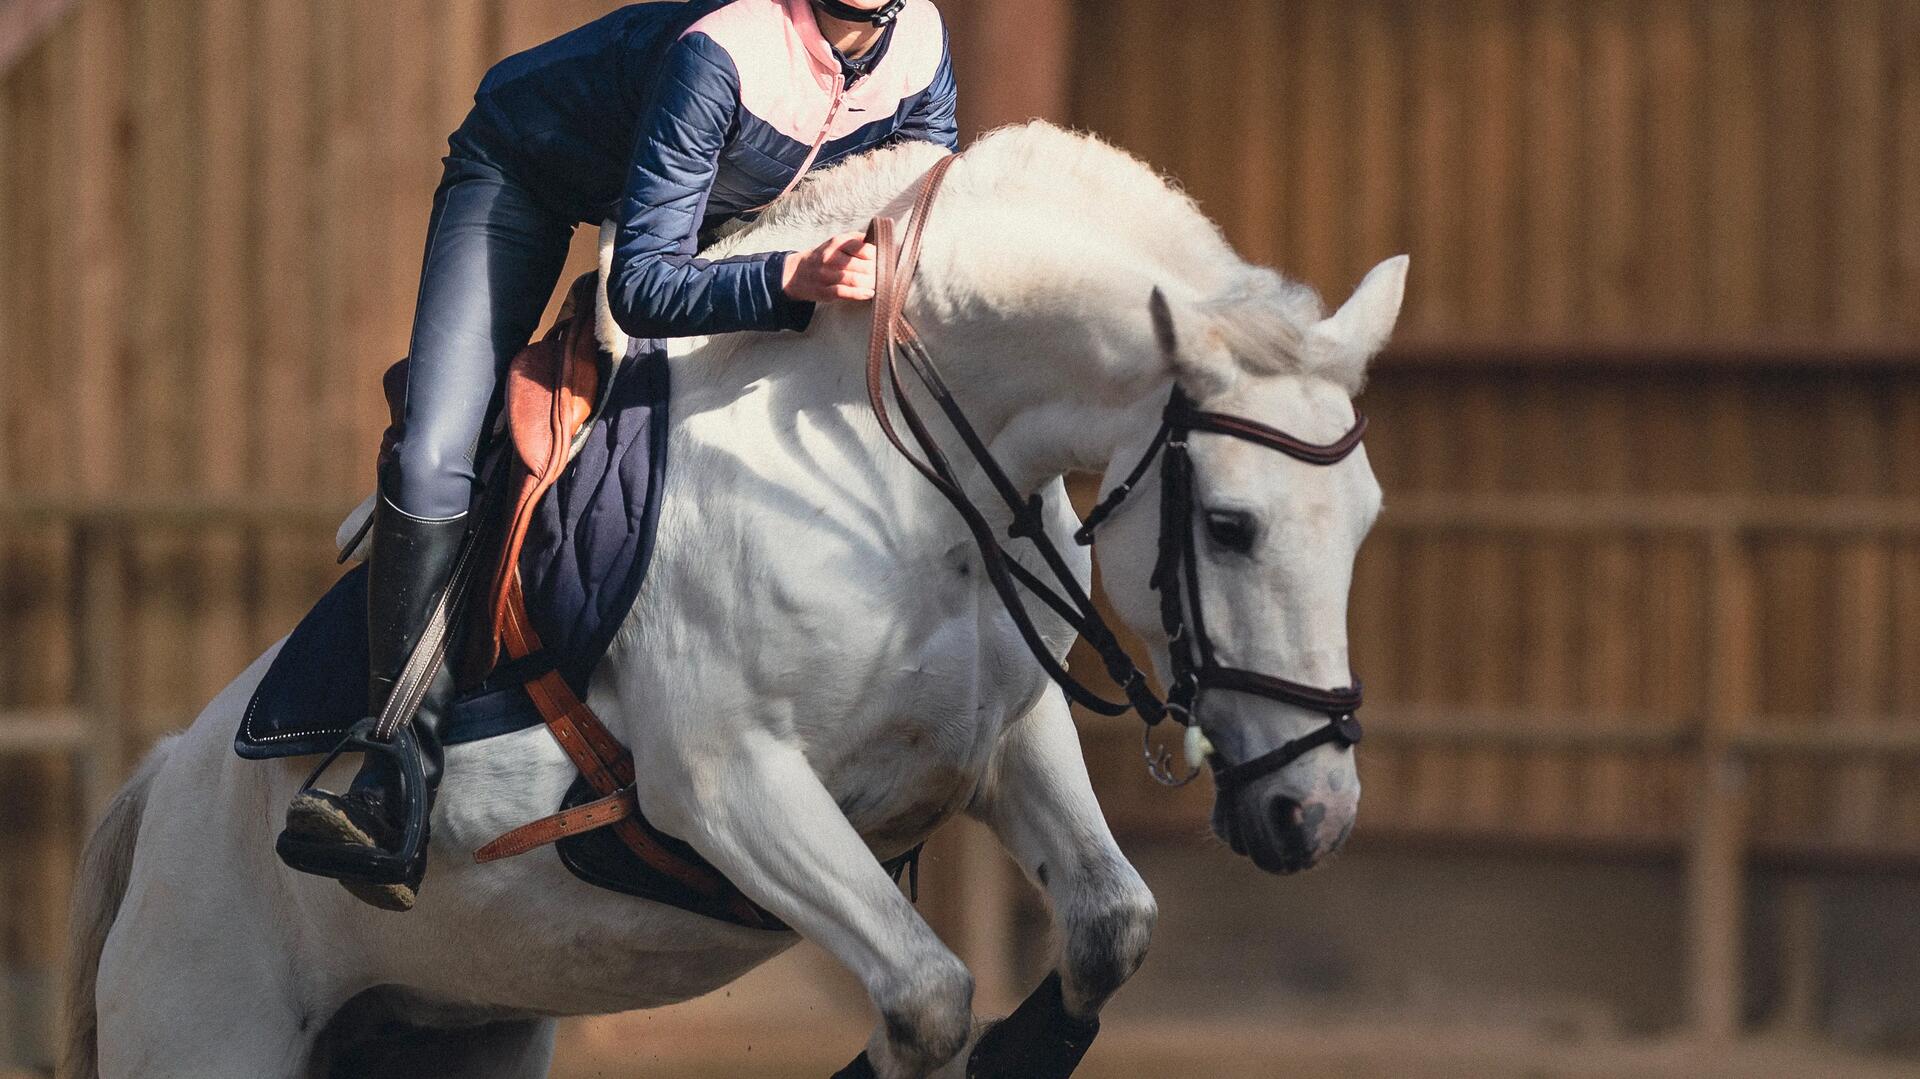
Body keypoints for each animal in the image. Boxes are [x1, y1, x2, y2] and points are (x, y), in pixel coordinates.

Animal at [67, 119, 1405, 1075]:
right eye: (1229, 526)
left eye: (1365, 523)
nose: (1315, 815)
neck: (897, 474)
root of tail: (164, 784)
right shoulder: (727, 781)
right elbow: (926, 997)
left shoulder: (1005, 737)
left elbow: (1108, 924)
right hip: (208, 1033)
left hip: (456, 1025)